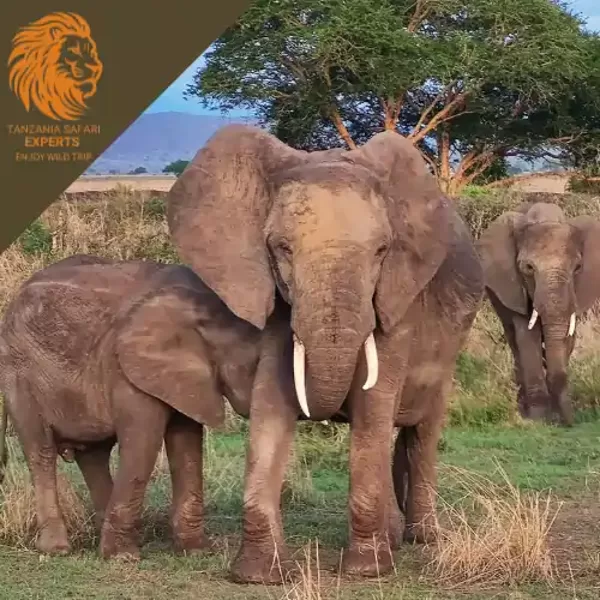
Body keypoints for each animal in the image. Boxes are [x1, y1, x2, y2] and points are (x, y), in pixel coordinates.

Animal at [0, 255, 262, 560]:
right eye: (258, 367)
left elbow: (185, 441)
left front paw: (196, 551)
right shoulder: (127, 371)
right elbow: (143, 441)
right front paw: (122, 557)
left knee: (93, 453)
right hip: (20, 375)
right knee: (40, 451)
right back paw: (57, 549)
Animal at [166, 125, 486, 580]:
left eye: (382, 251)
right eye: (282, 248)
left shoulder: (399, 297)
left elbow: (373, 404)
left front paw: (366, 572)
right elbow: (271, 403)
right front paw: (258, 576)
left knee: (422, 429)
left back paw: (423, 538)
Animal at [478, 203, 600, 426]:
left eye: (577, 268)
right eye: (528, 268)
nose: (570, 423)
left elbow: (567, 337)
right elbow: (528, 336)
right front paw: (538, 418)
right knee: (514, 341)